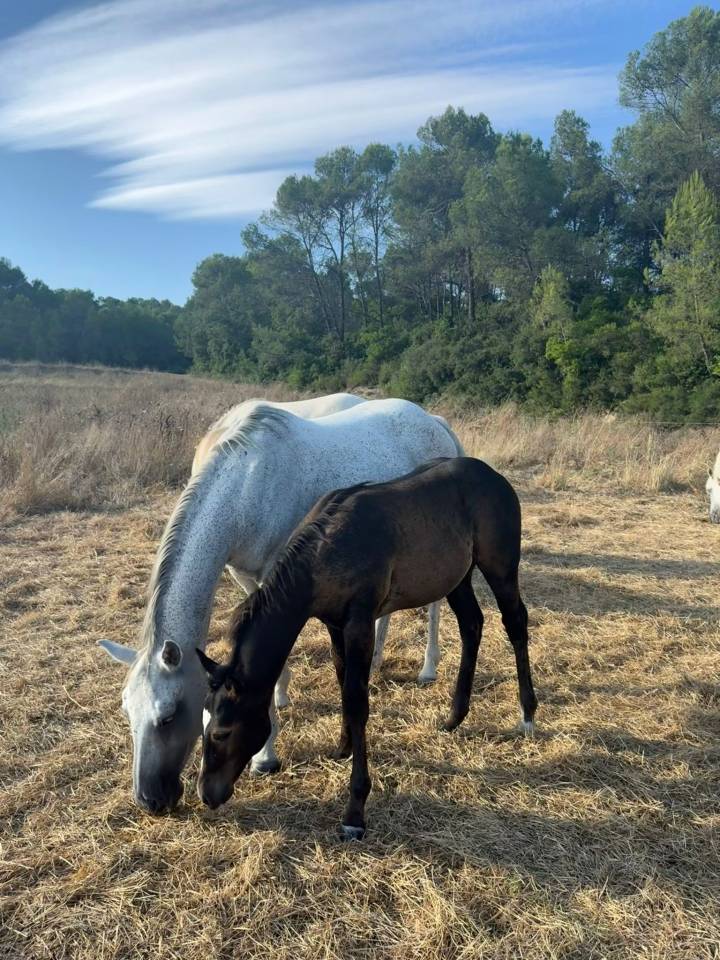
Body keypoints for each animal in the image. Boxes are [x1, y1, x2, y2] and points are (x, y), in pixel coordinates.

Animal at [98, 398, 462, 814]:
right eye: (127, 712)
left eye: (169, 715)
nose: (149, 800)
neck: (246, 483)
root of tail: (433, 420)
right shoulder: (243, 574)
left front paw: (265, 757)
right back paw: (374, 663)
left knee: (435, 608)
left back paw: (428, 669)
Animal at [197, 456, 538, 840]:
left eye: (221, 732)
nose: (206, 793)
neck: (325, 549)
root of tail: (494, 476)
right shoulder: (334, 625)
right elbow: (342, 682)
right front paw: (343, 746)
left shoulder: (360, 624)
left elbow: (357, 701)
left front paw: (355, 810)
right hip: (458, 578)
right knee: (472, 625)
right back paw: (454, 717)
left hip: (500, 568)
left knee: (515, 623)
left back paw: (527, 714)